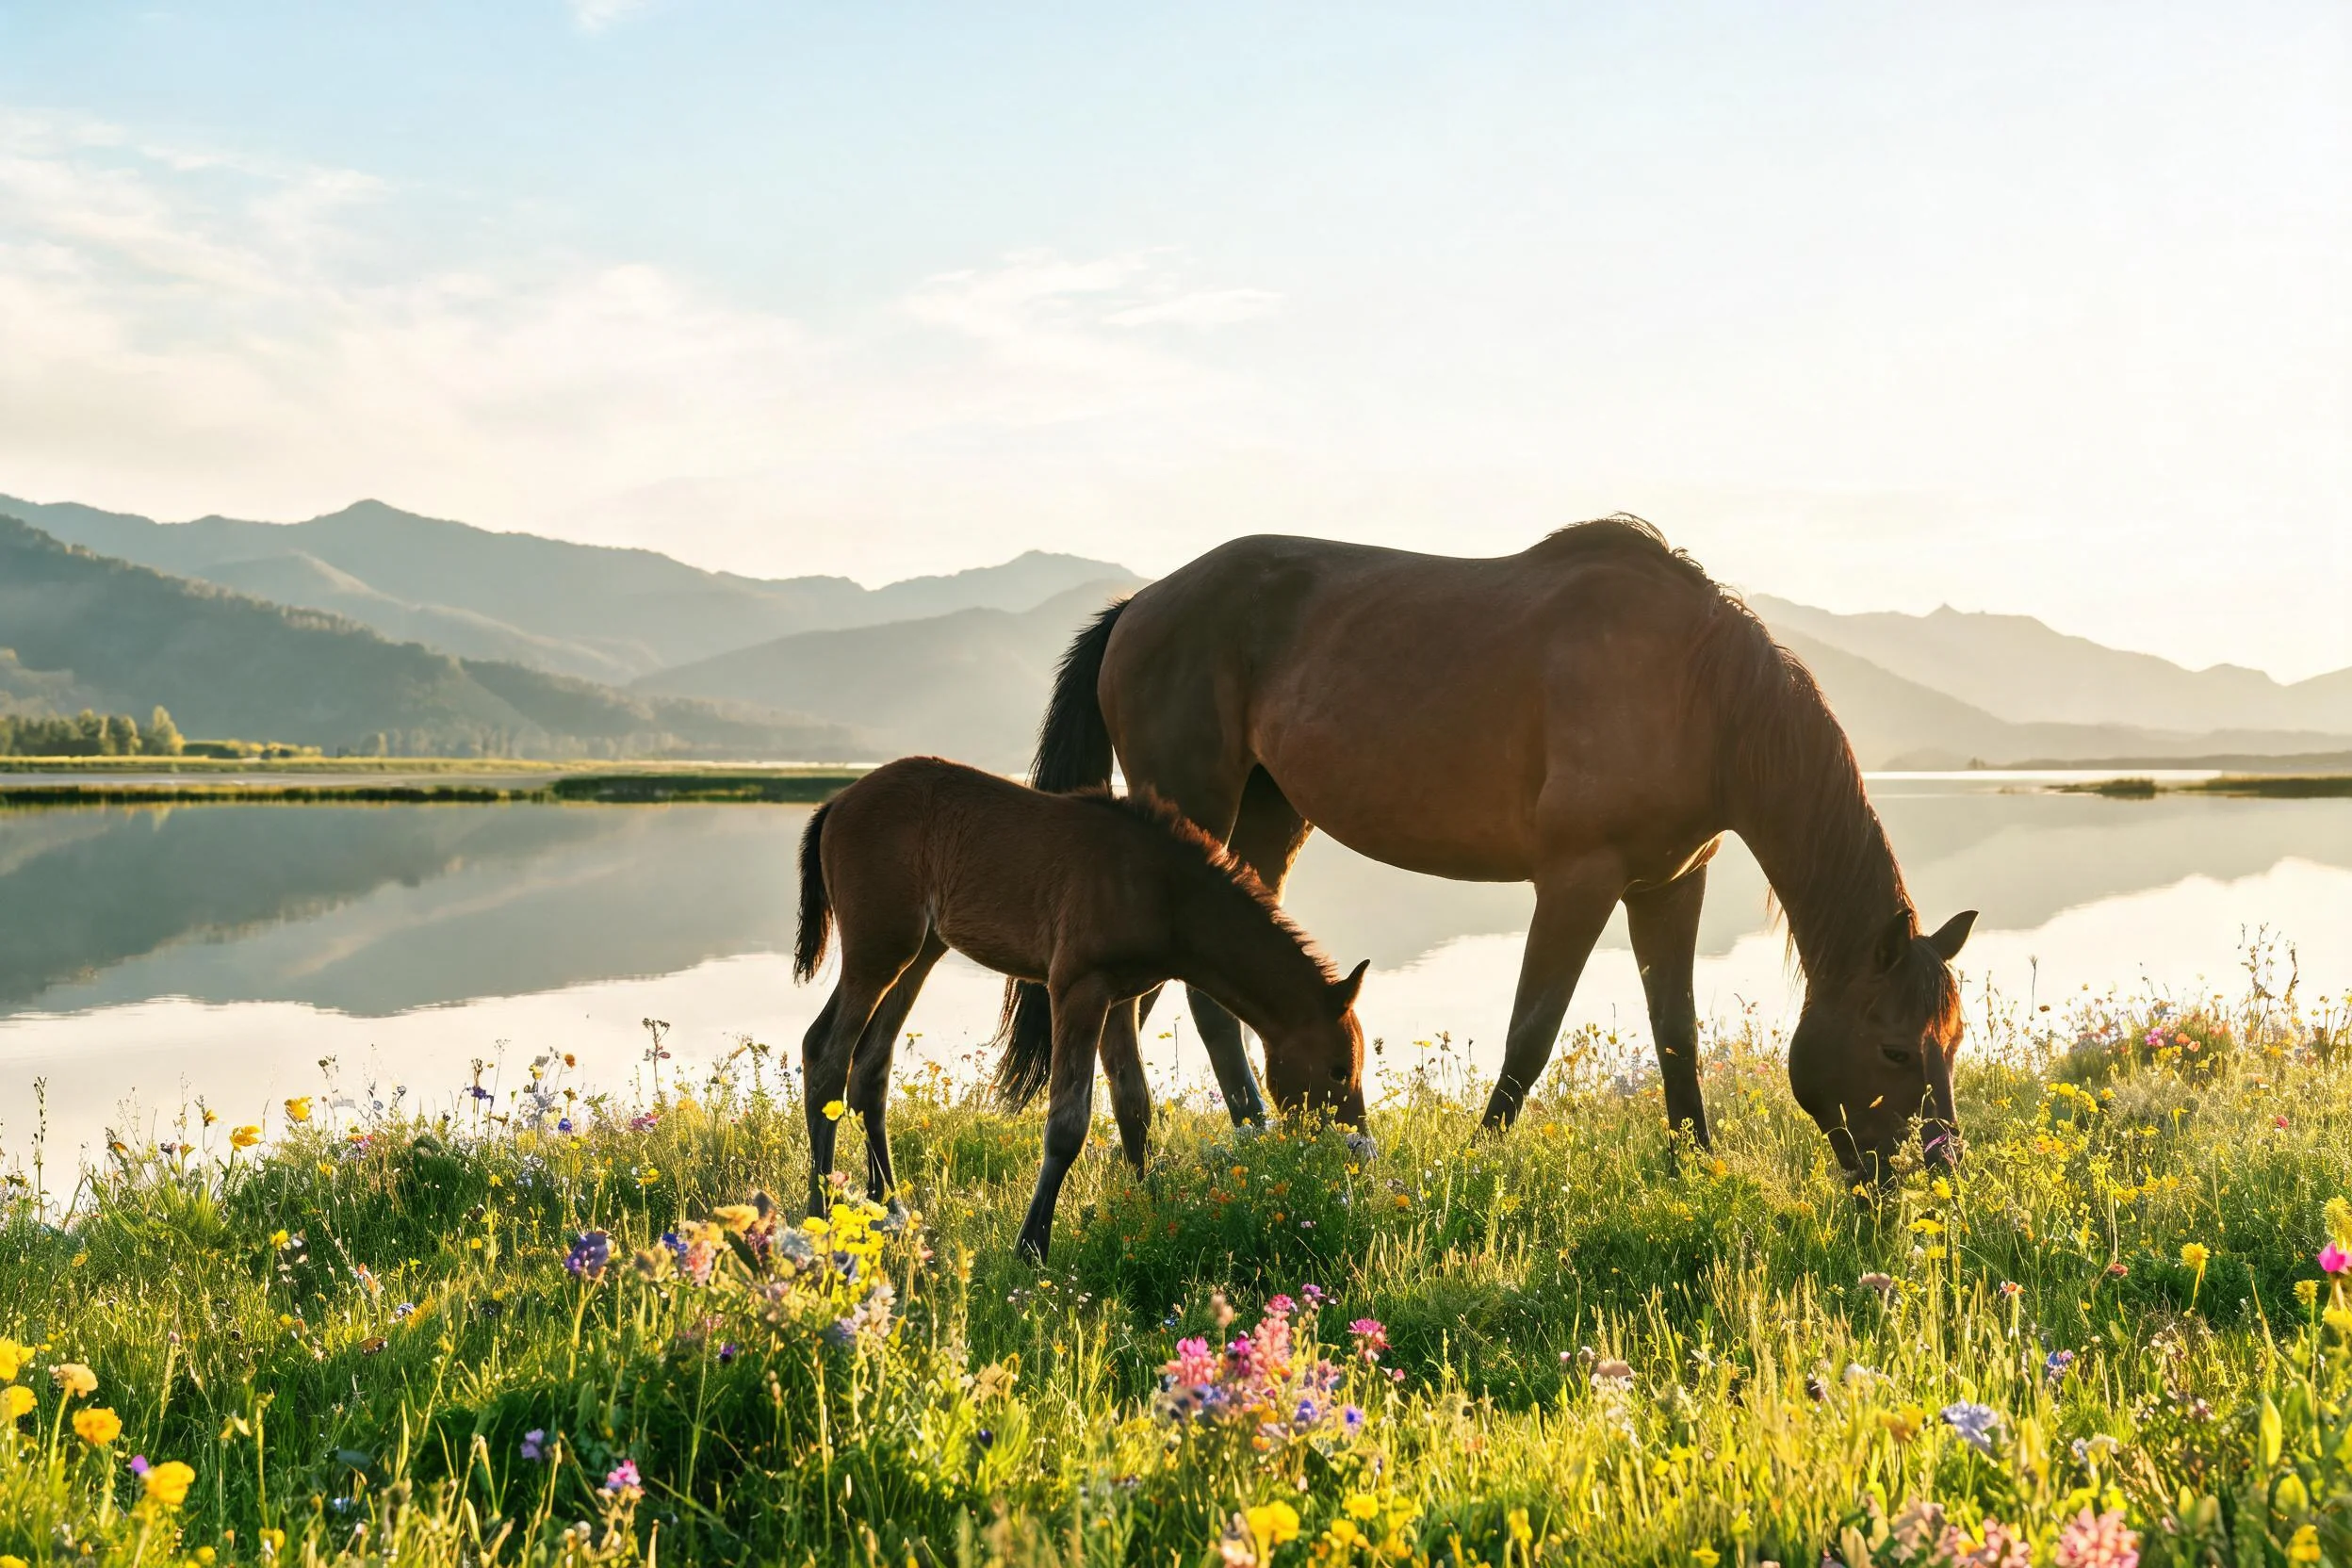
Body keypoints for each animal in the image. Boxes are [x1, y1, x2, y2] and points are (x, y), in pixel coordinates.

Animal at [792, 756, 1368, 1261]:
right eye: (1339, 1071)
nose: (1357, 1153)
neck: (1162, 888)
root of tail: (836, 804)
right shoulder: (1077, 988)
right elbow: (1069, 1121)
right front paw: (1031, 1248)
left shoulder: (1121, 996)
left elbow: (1134, 1107)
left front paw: (1151, 1213)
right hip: (879, 950)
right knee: (826, 1053)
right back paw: (820, 1210)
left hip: (918, 953)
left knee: (871, 1067)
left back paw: (890, 1209)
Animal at [1012, 516, 1976, 1185]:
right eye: (1896, 1050)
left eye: (1954, 1041)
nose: (1940, 1175)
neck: (1700, 694)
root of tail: (1139, 608)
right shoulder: (1579, 879)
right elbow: (1531, 1033)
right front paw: (1475, 1162)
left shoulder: (1670, 884)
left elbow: (1677, 1033)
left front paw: (1695, 1165)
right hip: (1200, 811)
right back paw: (1238, 1132)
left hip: (1266, 820)